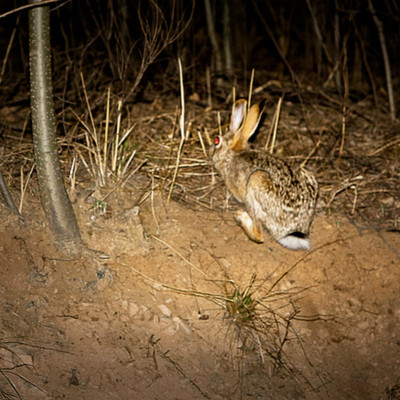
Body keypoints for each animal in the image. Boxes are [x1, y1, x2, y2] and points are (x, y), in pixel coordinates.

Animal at [209, 99, 318, 250]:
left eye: (216, 140)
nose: (211, 153)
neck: (231, 155)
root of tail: (293, 230)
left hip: (256, 183)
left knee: (259, 235)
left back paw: (241, 217)